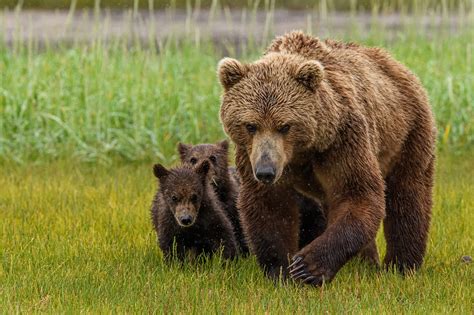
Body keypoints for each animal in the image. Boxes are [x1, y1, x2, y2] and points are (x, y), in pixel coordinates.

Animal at [217, 31, 436, 286]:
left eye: (285, 126)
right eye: (251, 125)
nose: (265, 171)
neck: (302, 151)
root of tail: (398, 65)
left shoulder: (342, 141)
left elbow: (358, 193)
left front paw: (307, 267)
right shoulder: (251, 153)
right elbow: (269, 206)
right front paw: (281, 271)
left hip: (407, 132)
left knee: (408, 195)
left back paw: (401, 265)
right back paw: (365, 263)